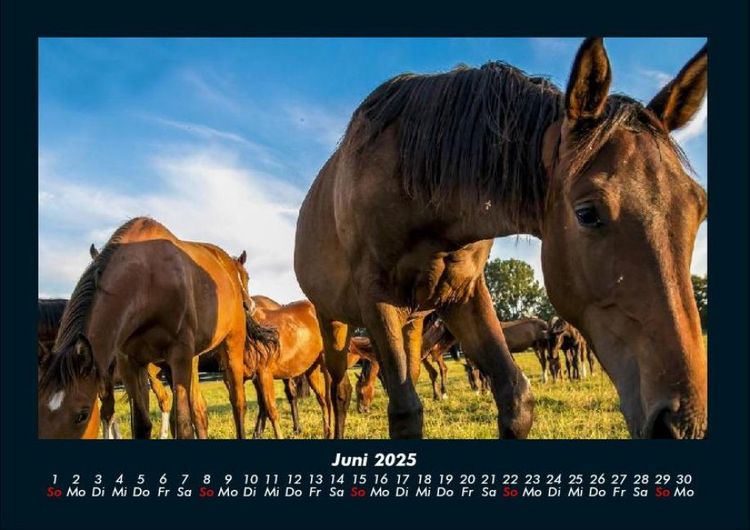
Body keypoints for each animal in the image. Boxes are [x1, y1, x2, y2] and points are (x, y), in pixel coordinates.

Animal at [38, 217, 276, 439]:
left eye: (83, 414)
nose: (249, 304)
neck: (148, 282)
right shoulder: (129, 363)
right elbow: (141, 425)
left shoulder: (179, 356)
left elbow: (182, 424)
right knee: (199, 409)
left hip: (231, 345)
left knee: (237, 403)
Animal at [295, 38, 707, 439]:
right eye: (587, 213)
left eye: (699, 207)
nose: (680, 422)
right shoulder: (377, 300)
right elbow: (405, 414)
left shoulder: (463, 294)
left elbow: (516, 399)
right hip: (334, 320)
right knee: (338, 389)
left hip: (412, 322)